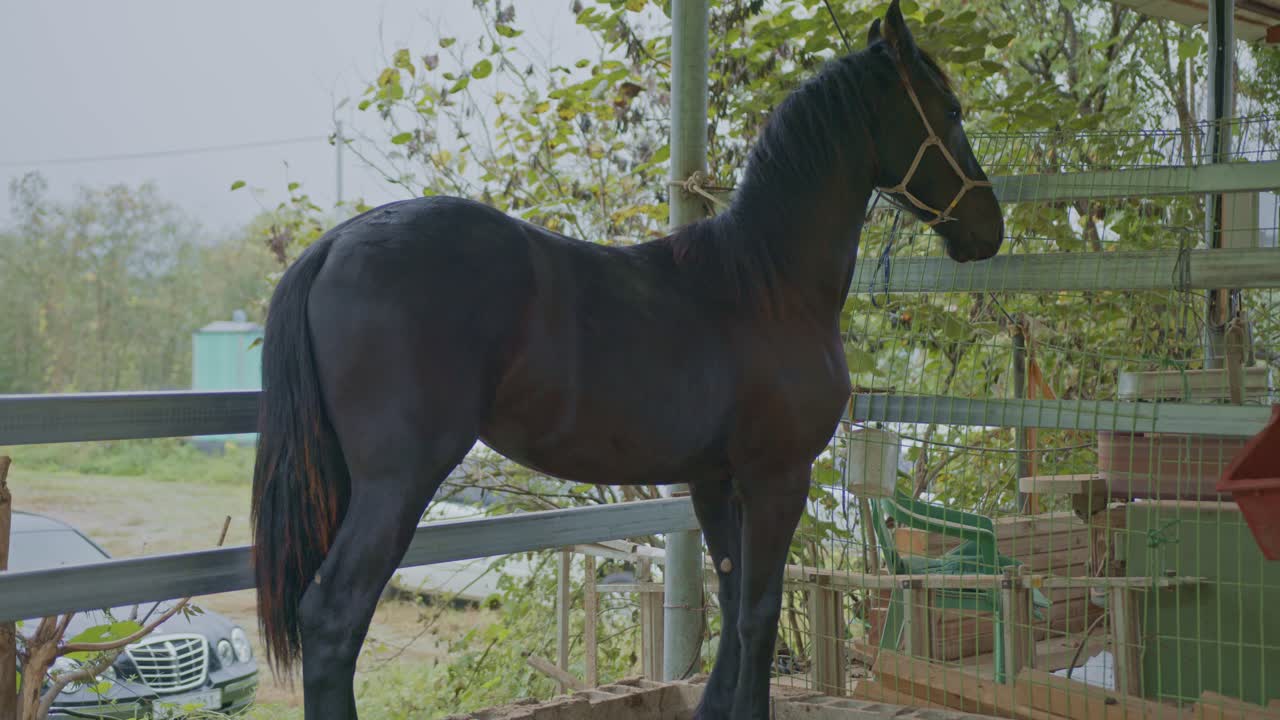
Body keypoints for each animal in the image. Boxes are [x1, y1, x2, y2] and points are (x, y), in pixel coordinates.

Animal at [249, 2, 1003, 717]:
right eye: (952, 110)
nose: (990, 228)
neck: (766, 283)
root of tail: (335, 244)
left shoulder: (714, 480)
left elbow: (731, 603)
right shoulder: (778, 476)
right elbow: (757, 614)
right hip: (397, 481)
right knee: (334, 617)